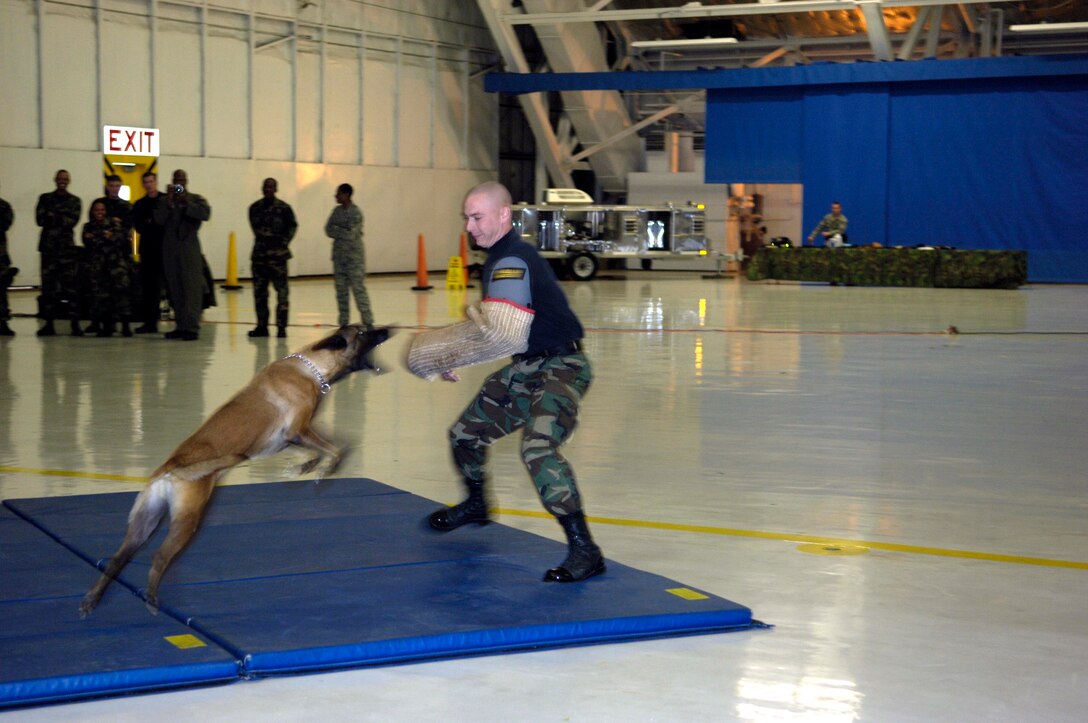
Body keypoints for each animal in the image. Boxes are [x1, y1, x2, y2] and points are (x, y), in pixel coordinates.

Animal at [81, 323, 396, 617]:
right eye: (363, 332)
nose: (390, 329)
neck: (312, 366)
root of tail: (170, 468)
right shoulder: (298, 430)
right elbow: (337, 449)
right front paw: (321, 471)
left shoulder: (284, 441)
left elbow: (323, 450)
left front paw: (301, 469)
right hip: (187, 520)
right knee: (159, 557)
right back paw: (151, 599)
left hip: (144, 522)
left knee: (115, 560)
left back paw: (91, 601)